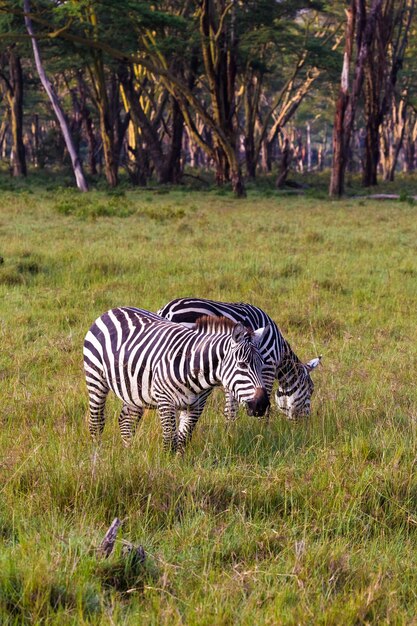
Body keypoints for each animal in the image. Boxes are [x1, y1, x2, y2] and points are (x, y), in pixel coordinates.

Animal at [83, 306, 268, 448]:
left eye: (262, 365)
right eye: (242, 365)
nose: (262, 405)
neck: (192, 368)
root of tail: (113, 310)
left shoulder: (196, 405)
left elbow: (183, 438)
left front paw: (180, 465)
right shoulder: (165, 401)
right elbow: (170, 439)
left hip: (133, 390)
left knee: (126, 421)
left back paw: (128, 452)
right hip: (96, 379)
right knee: (96, 421)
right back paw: (97, 454)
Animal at [157, 296, 322, 420]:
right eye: (311, 390)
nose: (306, 423)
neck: (279, 349)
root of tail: (166, 311)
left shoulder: (232, 371)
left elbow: (231, 408)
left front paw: (229, 431)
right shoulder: (267, 367)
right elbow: (265, 404)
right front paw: (264, 430)